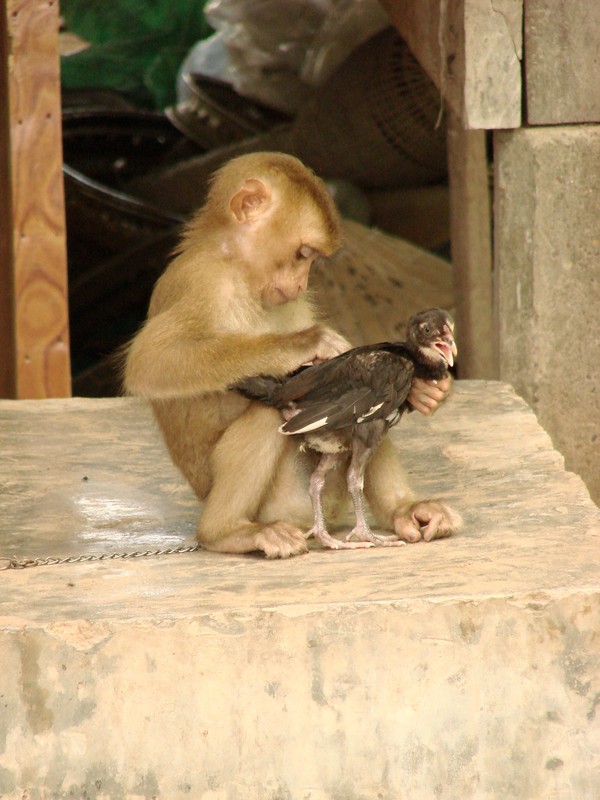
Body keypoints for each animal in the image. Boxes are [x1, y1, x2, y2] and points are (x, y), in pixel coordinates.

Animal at [123, 152, 460, 556]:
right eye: (302, 255)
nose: (301, 283)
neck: (240, 270)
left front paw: (428, 393)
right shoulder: (204, 280)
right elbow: (151, 361)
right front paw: (310, 342)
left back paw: (404, 510)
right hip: (284, 494)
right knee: (268, 419)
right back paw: (228, 531)